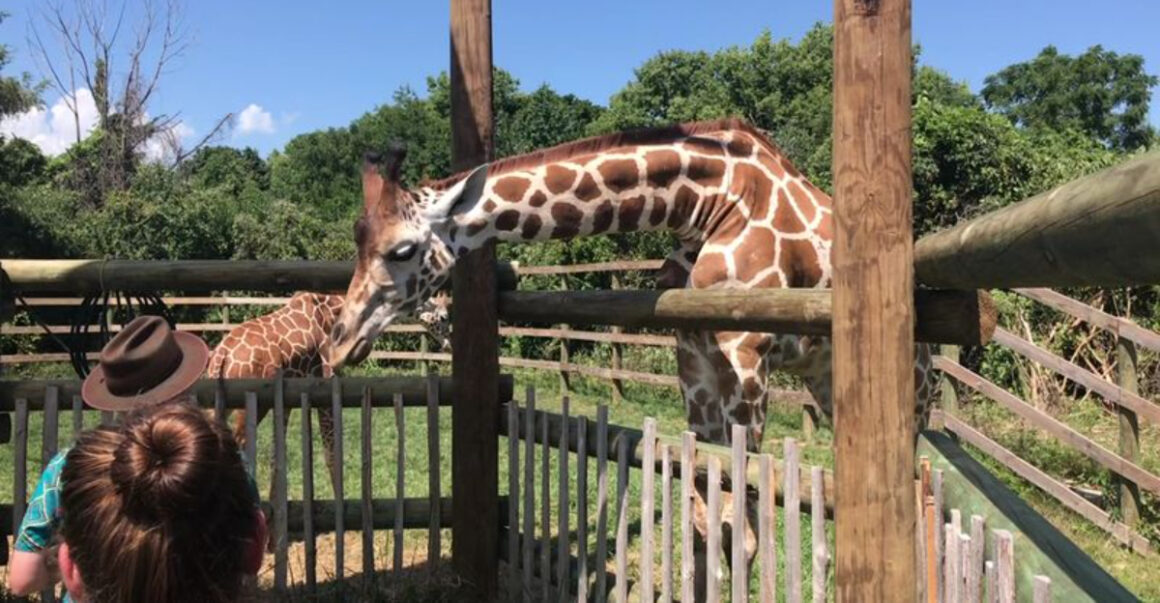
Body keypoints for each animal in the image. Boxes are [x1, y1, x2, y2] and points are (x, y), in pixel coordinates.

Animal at [324, 118, 938, 595]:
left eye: (402, 249)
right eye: (357, 238)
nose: (339, 343)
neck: (708, 205)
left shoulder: (748, 355)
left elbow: (741, 530)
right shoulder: (695, 361)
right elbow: (703, 524)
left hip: (910, 395)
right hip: (824, 379)